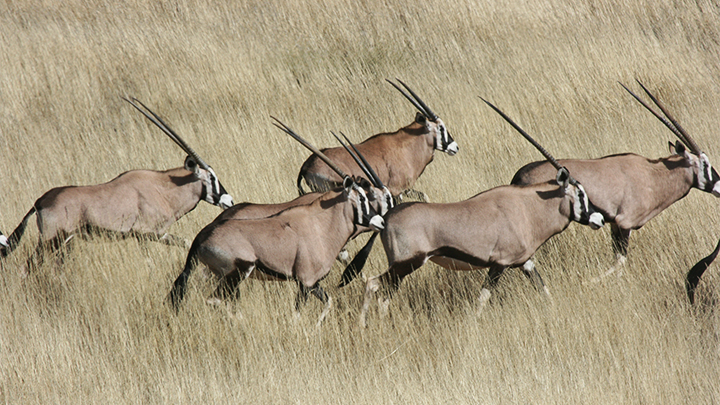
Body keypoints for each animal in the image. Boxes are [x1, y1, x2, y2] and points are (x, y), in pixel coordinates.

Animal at [0, 98, 233, 274]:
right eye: (212, 178)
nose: (229, 201)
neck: (164, 189)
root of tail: (40, 201)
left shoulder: (141, 237)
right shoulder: (150, 233)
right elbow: (183, 243)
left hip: (64, 242)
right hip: (51, 240)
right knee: (27, 267)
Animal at [167, 117, 388, 326]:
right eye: (363, 199)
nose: (381, 222)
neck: (322, 225)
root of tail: (202, 237)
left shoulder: (313, 284)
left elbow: (329, 302)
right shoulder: (305, 283)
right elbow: (297, 316)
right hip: (237, 275)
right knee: (215, 301)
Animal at [296, 78, 458, 200]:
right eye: (441, 128)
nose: (455, 147)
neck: (407, 147)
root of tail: (306, 166)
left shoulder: (405, 190)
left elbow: (424, 196)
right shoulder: (396, 191)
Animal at [358, 99, 604, 326]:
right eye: (580, 194)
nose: (599, 218)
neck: (528, 208)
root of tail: (387, 218)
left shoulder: (526, 263)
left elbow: (543, 289)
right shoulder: (499, 264)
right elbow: (483, 298)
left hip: (401, 269)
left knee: (383, 293)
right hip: (407, 264)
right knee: (373, 285)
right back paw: (363, 324)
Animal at [512, 79, 720, 280]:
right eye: (705, 163)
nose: (719, 186)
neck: (653, 174)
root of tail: (519, 176)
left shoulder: (613, 224)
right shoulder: (624, 223)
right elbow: (620, 262)